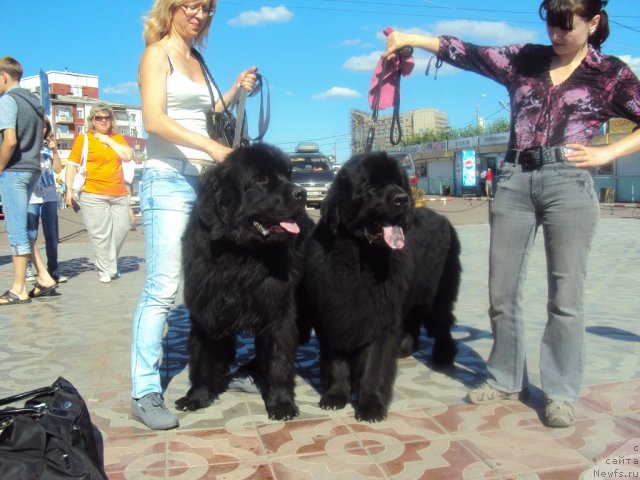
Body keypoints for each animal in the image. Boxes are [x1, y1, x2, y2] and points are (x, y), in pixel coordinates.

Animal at [176, 142, 314, 420]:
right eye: (261, 179)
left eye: (287, 175)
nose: (302, 193)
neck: (240, 252)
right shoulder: (205, 306)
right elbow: (203, 356)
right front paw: (197, 396)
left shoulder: (278, 308)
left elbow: (279, 357)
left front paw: (281, 402)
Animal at [298, 152, 460, 422]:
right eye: (371, 188)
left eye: (399, 183)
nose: (403, 199)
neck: (360, 259)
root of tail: (444, 218)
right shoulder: (333, 313)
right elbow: (336, 362)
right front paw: (335, 396)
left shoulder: (381, 316)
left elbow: (373, 366)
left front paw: (371, 405)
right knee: (412, 321)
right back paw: (405, 348)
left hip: (434, 296)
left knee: (441, 323)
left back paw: (443, 355)